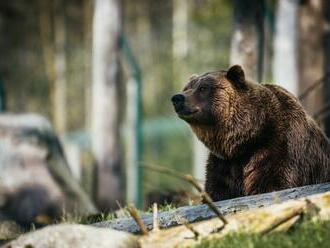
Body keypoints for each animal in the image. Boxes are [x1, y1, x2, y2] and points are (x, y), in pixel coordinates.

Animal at [171, 66, 330, 202]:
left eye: (203, 88)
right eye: (186, 88)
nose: (177, 98)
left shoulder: (278, 147)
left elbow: (271, 183)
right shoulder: (224, 163)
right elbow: (217, 190)